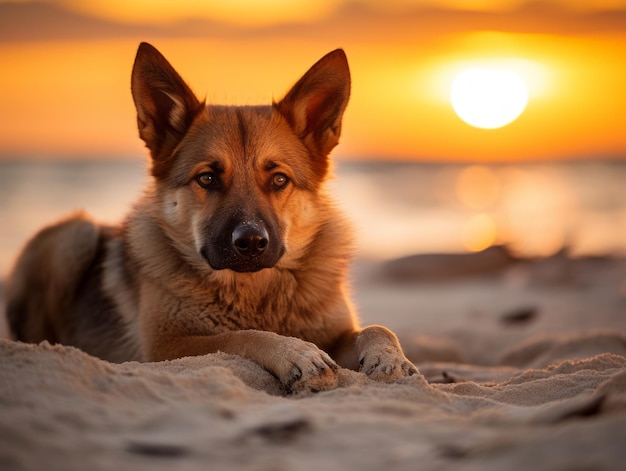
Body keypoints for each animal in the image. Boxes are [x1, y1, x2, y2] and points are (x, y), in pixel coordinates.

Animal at [4, 43, 416, 394]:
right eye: (207, 178)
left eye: (279, 179)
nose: (251, 243)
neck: (255, 293)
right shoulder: (167, 346)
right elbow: (241, 336)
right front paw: (294, 353)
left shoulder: (335, 332)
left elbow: (376, 328)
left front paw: (389, 357)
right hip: (76, 234)